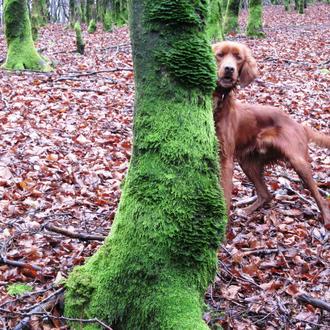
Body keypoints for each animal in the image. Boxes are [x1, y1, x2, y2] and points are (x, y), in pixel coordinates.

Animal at [213, 40, 330, 228]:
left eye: (238, 58)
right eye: (220, 55)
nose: (229, 69)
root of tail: (298, 124)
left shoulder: (226, 159)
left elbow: (225, 195)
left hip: (298, 160)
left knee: (321, 198)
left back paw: (326, 220)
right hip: (248, 162)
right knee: (266, 194)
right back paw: (246, 211)